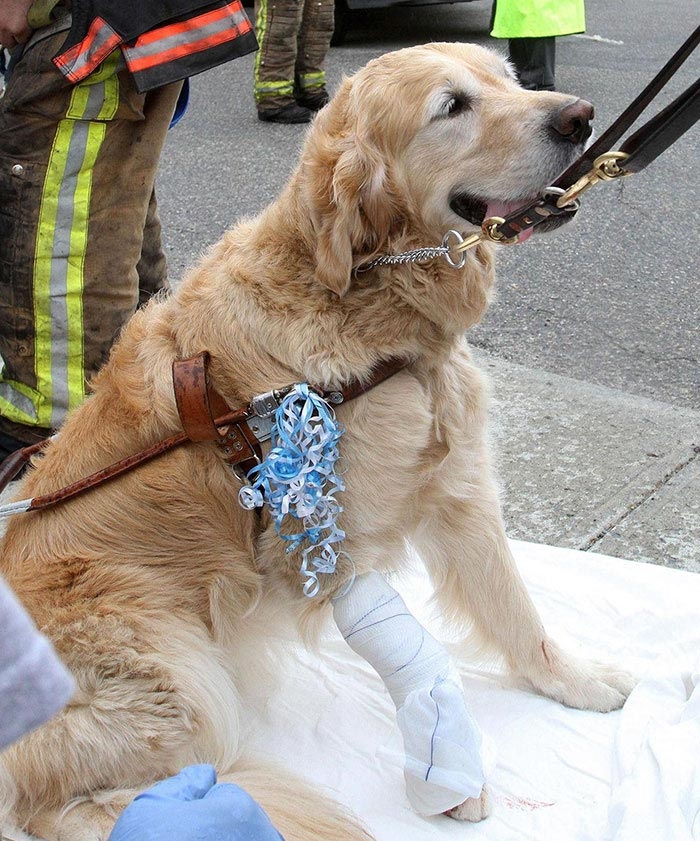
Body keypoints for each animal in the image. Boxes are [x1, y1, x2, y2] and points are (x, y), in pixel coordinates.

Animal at [0, 42, 636, 840]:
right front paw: (449, 778)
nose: (580, 117)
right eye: (452, 106)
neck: (367, 297)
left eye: (510, 79)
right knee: (67, 806)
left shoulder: (459, 487)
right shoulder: (330, 541)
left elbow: (516, 607)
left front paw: (573, 681)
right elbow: (421, 652)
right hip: (181, 683)